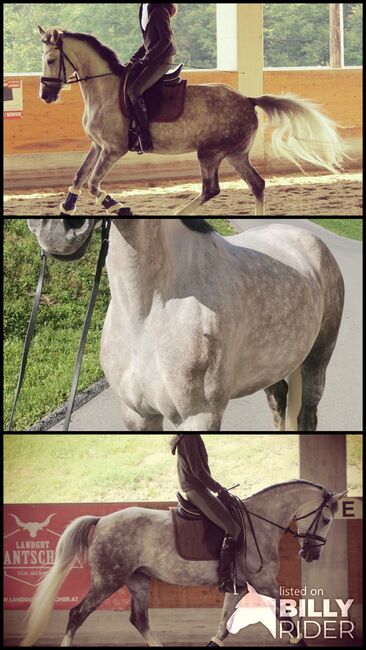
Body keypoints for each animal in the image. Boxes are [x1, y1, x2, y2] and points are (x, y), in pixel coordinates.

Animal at [21, 478, 348, 644]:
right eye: (326, 520)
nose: (312, 554)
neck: (260, 521)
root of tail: (101, 520)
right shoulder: (265, 583)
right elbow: (289, 622)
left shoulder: (239, 586)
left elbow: (223, 625)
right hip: (107, 581)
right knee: (77, 615)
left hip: (137, 581)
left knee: (139, 620)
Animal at [27, 218, 344, 430]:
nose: (55, 230)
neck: (149, 311)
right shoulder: (137, 414)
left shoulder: (199, 416)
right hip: (272, 367)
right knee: (279, 403)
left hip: (318, 358)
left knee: (307, 415)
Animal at [38, 27, 348, 215]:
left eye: (51, 60)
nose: (46, 95)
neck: (104, 90)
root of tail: (248, 100)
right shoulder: (98, 145)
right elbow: (79, 176)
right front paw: (66, 207)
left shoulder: (114, 149)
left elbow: (93, 183)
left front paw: (118, 206)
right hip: (235, 154)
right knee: (257, 184)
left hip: (210, 152)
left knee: (212, 189)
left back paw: (178, 214)